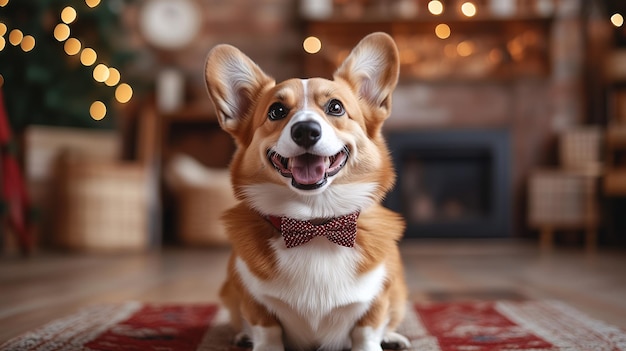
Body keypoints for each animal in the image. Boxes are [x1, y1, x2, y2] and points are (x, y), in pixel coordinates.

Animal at [204, 33, 410, 351]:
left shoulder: (377, 299)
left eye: (336, 107)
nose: (305, 131)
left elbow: (367, 330)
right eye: (276, 111)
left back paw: (393, 337)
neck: (315, 223)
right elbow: (267, 331)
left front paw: (378, 339)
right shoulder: (254, 302)